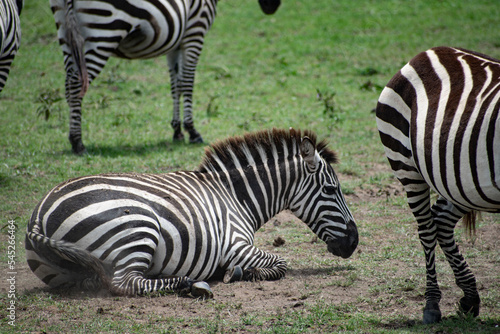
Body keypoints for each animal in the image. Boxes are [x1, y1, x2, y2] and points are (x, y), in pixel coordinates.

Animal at [25, 128, 358, 298]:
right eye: (331, 189)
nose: (354, 242)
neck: (235, 197)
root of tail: (39, 216)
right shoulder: (236, 245)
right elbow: (281, 263)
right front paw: (240, 273)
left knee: (99, 282)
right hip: (137, 226)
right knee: (125, 283)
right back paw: (190, 284)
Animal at [50, 0, 282, 154]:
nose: (272, 8)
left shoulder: (176, 41)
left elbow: (175, 85)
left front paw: (177, 130)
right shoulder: (195, 31)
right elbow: (187, 82)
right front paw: (192, 131)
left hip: (66, 33)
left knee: (68, 84)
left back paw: (73, 138)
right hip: (104, 30)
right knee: (76, 85)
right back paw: (78, 142)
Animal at [376, 45, 498, 324]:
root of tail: (427, 53)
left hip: (463, 183)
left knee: (441, 220)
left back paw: (469, 298)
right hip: (408, 166)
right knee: (427, 228)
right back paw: (432, 304)